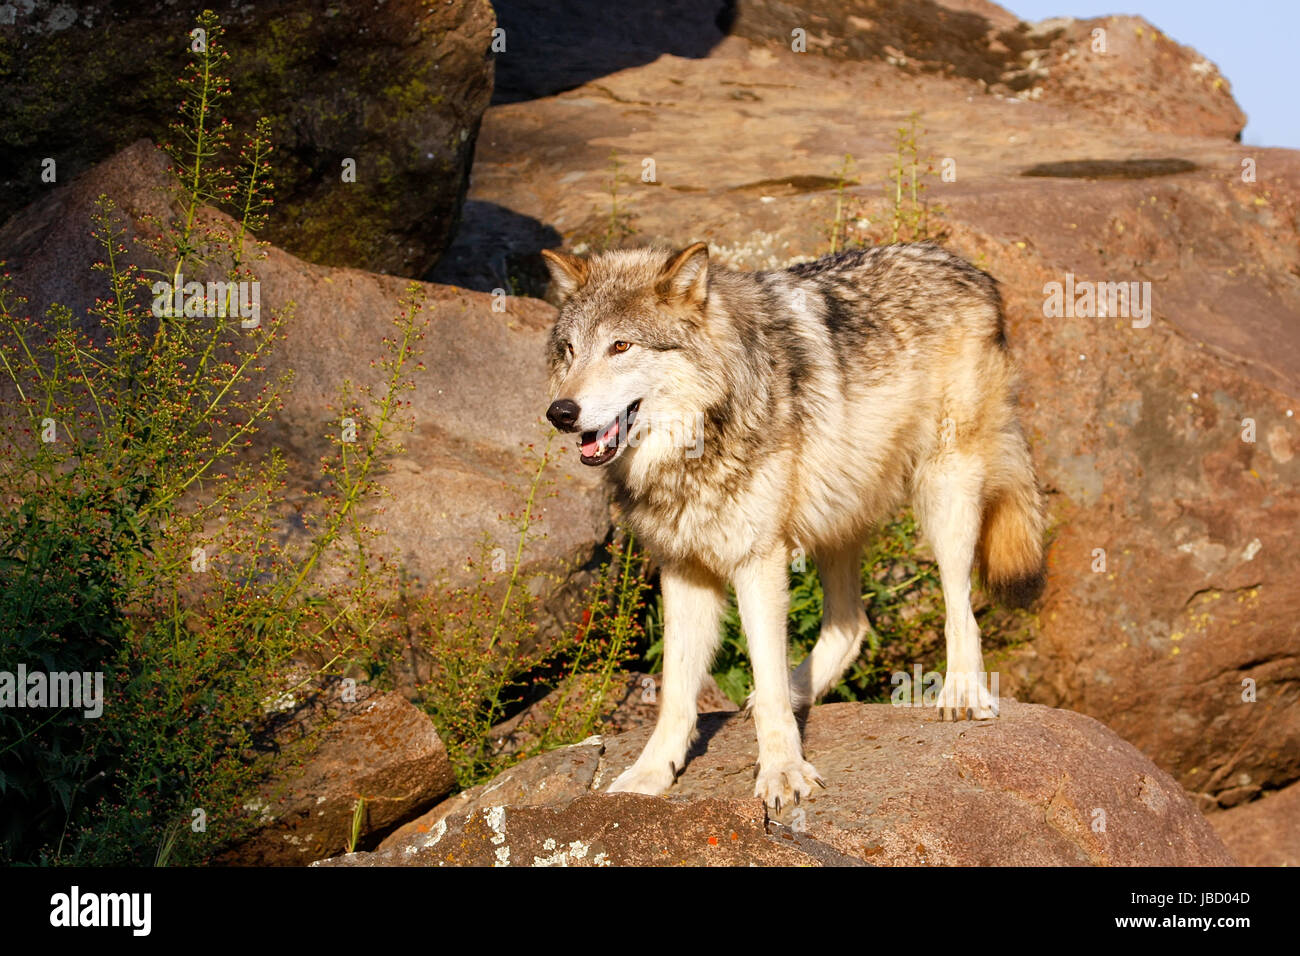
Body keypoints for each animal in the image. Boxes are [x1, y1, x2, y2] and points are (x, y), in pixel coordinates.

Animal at [538, 239, 1045, 806]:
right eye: (569, 350)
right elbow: (676, 691)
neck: (699, 439)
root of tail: (967, 268)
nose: (560, 412)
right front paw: (650, 774)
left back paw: (962, 692)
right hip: (838, 517)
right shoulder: (684, 569)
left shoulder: (758, 561)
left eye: (621, 346)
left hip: (944, 494)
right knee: (852, 624)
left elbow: (767, 682)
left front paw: (782, 771)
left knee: (960, 608)